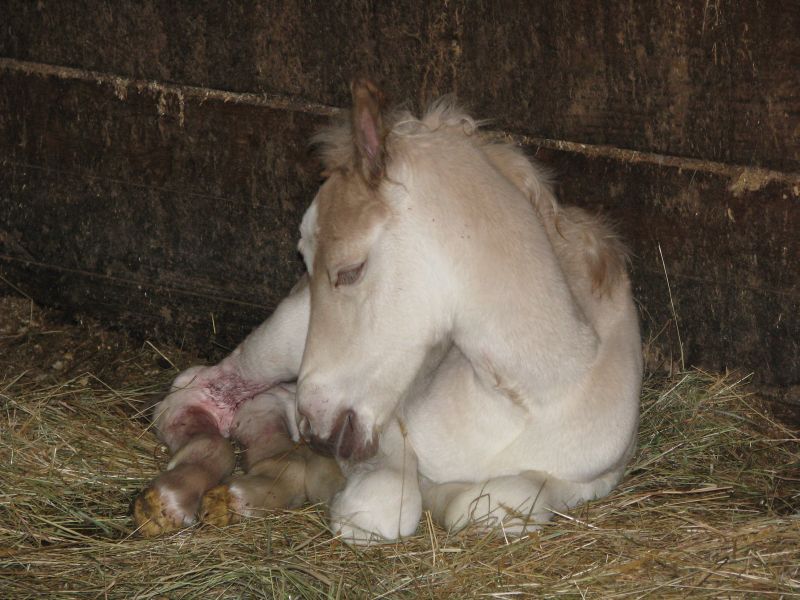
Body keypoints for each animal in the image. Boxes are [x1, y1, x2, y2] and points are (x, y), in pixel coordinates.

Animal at [133, 78, 643, 544]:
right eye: (305, 260)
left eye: (350, 271)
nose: (318, 428)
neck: (527, 396)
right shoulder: (384, 423)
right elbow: (384, 508)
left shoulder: (595, 476)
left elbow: (491, 504)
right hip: (285, 340)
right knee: (199, 391)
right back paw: (177, 496)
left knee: (265, 405)